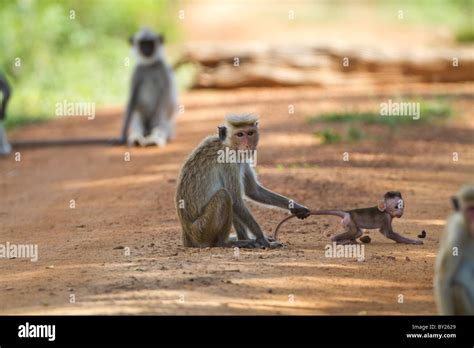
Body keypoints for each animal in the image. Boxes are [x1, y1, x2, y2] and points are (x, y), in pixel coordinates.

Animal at [175, 113, 312, 247]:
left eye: (250, 133)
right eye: (240, 134)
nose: (247, 145)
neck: (228, 145)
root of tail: (187, 238)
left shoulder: (241, 160)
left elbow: (253, 191)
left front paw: (296, 207)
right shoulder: (228, 161)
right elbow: (236, 199)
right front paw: (262, 239)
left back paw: (243, 238)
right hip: (201, 230)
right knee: (225, 196)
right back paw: (226, 243)